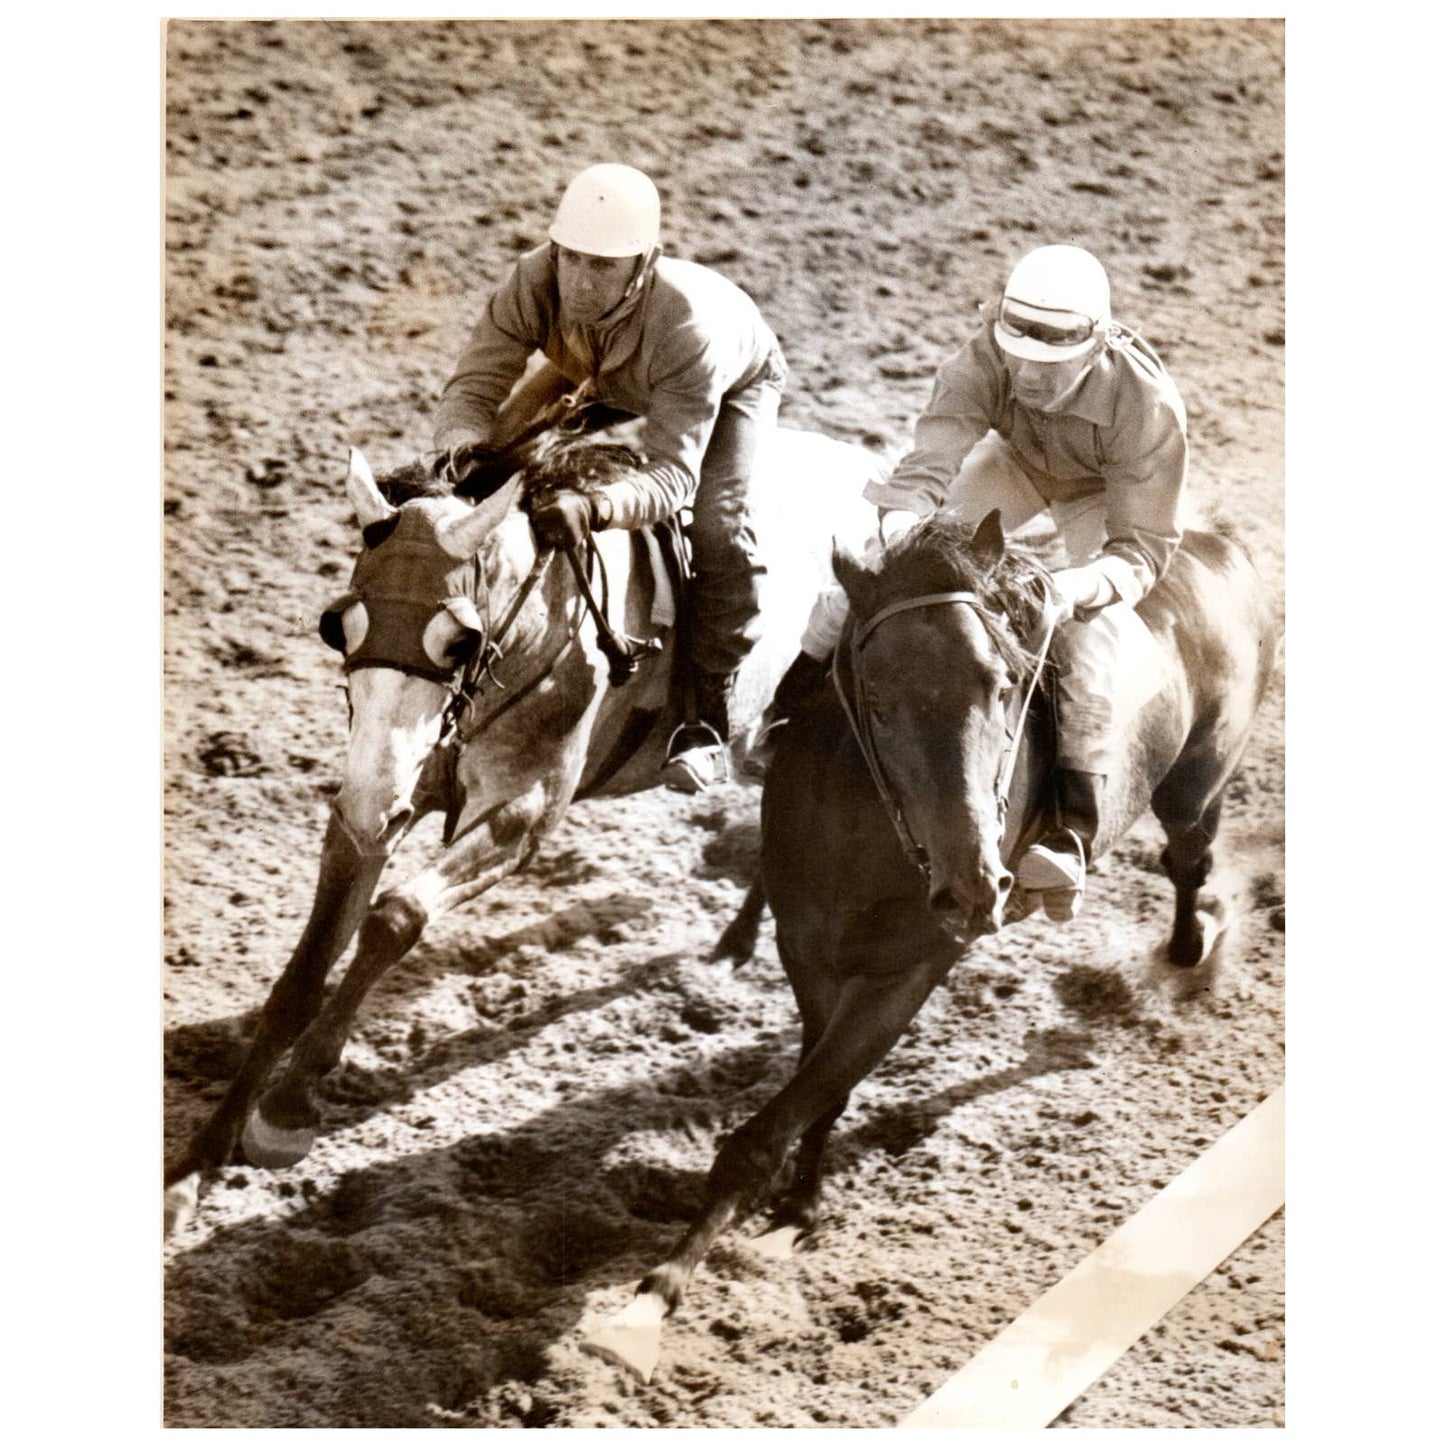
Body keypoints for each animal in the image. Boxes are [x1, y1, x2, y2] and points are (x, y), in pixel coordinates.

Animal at [164, 407, 872, 1231]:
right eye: (337, 626)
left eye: (460, 638)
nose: (375, 801)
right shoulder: (369, 808)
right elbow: (302, 976)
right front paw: (191, 1168)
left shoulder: (521, 818)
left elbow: (395, 916)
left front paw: (286, 1108)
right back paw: (733, 940)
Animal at [592, 508, 1283, 1364]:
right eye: (877, 694)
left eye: (1002, 685)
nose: (975, 885)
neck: (865, 834)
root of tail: (1218, 543)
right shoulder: (811, 948)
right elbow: (822, 1085)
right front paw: (796, 1207)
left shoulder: (910, 969)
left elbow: (780, 1118)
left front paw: (653, 1296)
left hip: (1197, 782)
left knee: (1188, 859)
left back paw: (1190, 946)